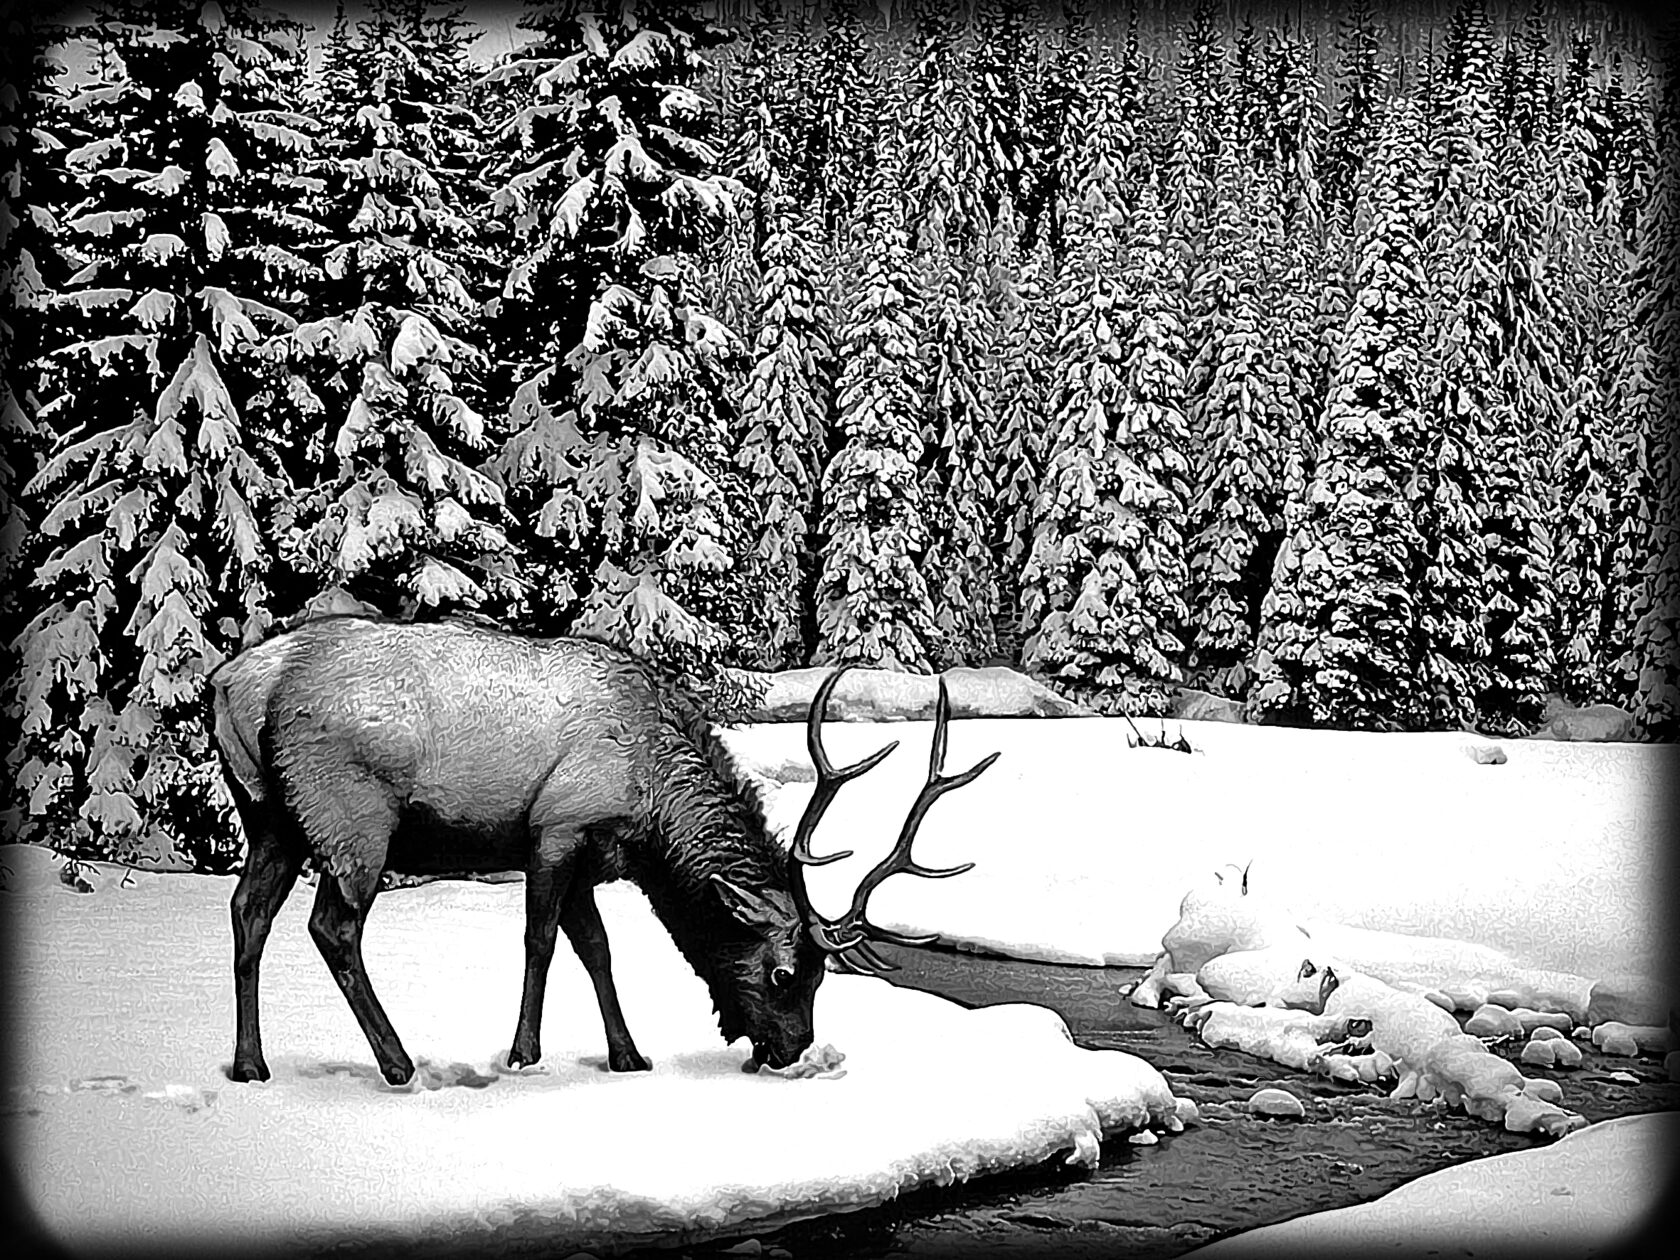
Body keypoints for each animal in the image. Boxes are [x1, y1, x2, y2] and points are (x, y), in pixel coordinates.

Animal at [208, 618, 994, 1088]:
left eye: (824, 977)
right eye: (783, 974)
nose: (793, 1048)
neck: (652, 810)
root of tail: (233, 686)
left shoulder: (591, 856)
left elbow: (596, 948)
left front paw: (629, 1055)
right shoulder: (556, 825)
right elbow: (542, 941)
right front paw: (523, 1054)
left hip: (270, 815)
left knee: (248, 910)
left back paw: (250, 1064)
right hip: (352, 815)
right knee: (331, 928)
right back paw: (399, 1064)